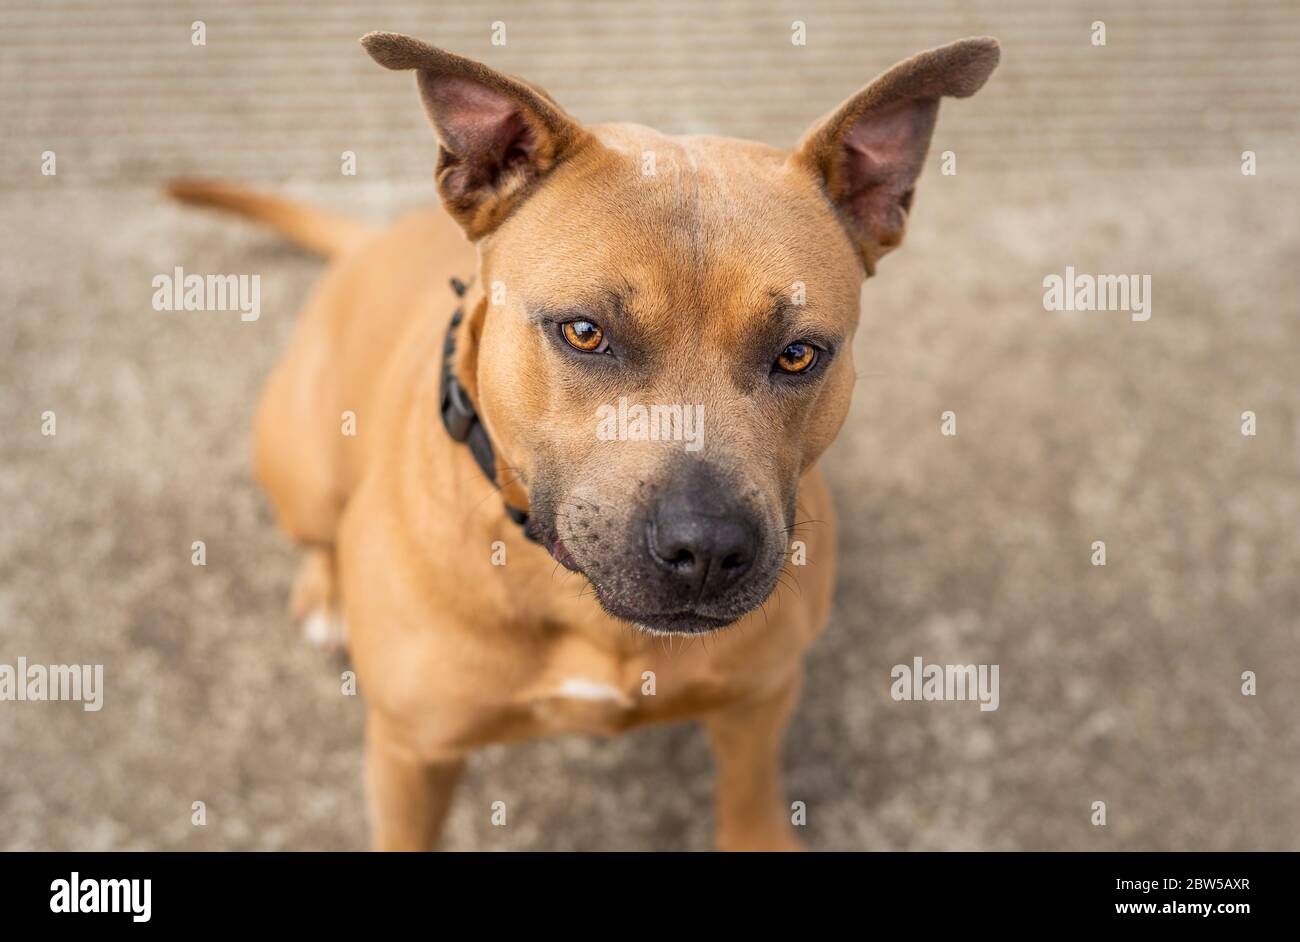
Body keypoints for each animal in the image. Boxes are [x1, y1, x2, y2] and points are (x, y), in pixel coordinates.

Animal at [167, 33, 998, 847]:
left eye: (799, 353)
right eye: (584, 332)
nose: (706, 550)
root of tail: (367, 243)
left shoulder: (759, 701)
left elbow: (750, 800)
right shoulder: (412, 752)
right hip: (301, 467)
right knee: (318, 533)